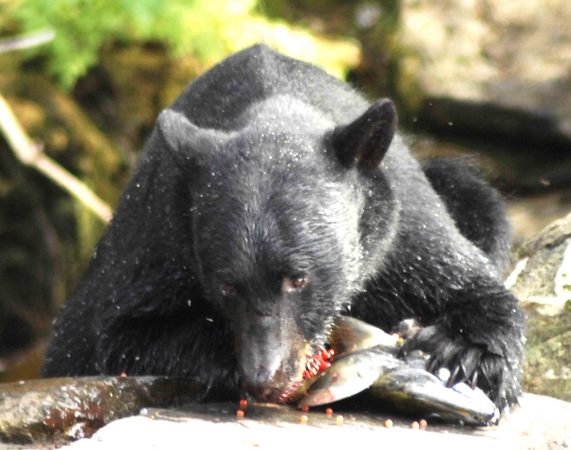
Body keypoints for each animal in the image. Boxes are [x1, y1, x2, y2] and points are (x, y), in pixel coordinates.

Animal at [44, 44, 524, 410]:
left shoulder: (403, 230)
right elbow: (113, 338)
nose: (265, 377)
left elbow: (476, 288)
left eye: (298, 278)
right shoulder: (158, 238)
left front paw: (458, 351)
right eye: (226, 286)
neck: (274, 111)